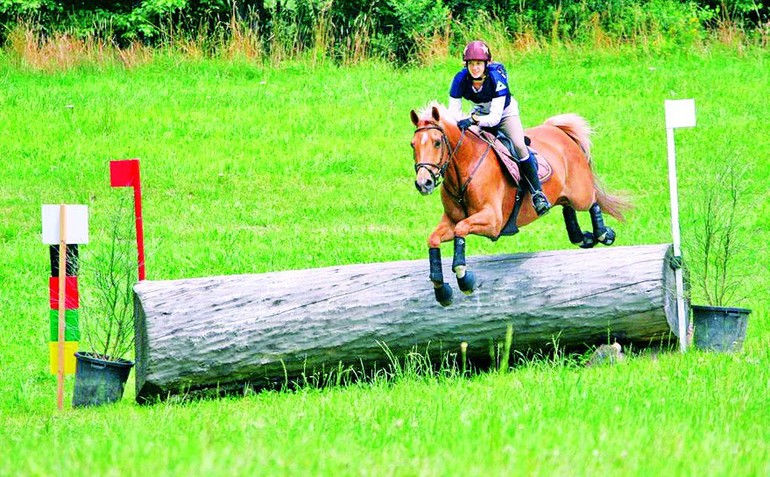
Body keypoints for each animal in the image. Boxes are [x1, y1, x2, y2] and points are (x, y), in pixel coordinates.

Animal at [408, 102, 632, 306]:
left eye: (437, 143)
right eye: (413, 144)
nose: (423, 183)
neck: (465, 167)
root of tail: (557, 130)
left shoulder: (492, 221)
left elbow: (461, 230)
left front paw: (465, 278)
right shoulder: (451, 220)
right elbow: (434, 239)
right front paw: (441, 289)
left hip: (580, 194)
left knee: (592, 201)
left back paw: (604, 233)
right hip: (563, 196)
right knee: (568, 210)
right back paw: (583, 237)